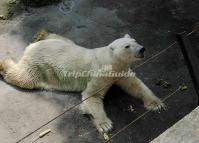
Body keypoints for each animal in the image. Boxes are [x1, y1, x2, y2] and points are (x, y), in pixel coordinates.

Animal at [0, 32, 165, 133]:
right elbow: (92, 96)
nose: (142, 49)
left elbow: (135, 85)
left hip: (60, 44)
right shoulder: (99, 74)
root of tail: (31, 47)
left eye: (135, 41)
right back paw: (4, 64)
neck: (111, 63)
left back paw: (42, 34)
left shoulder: (121, 72)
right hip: (39, 66)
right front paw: (105, 125)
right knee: (24, 78)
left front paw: (156, 104)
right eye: (127, 46)